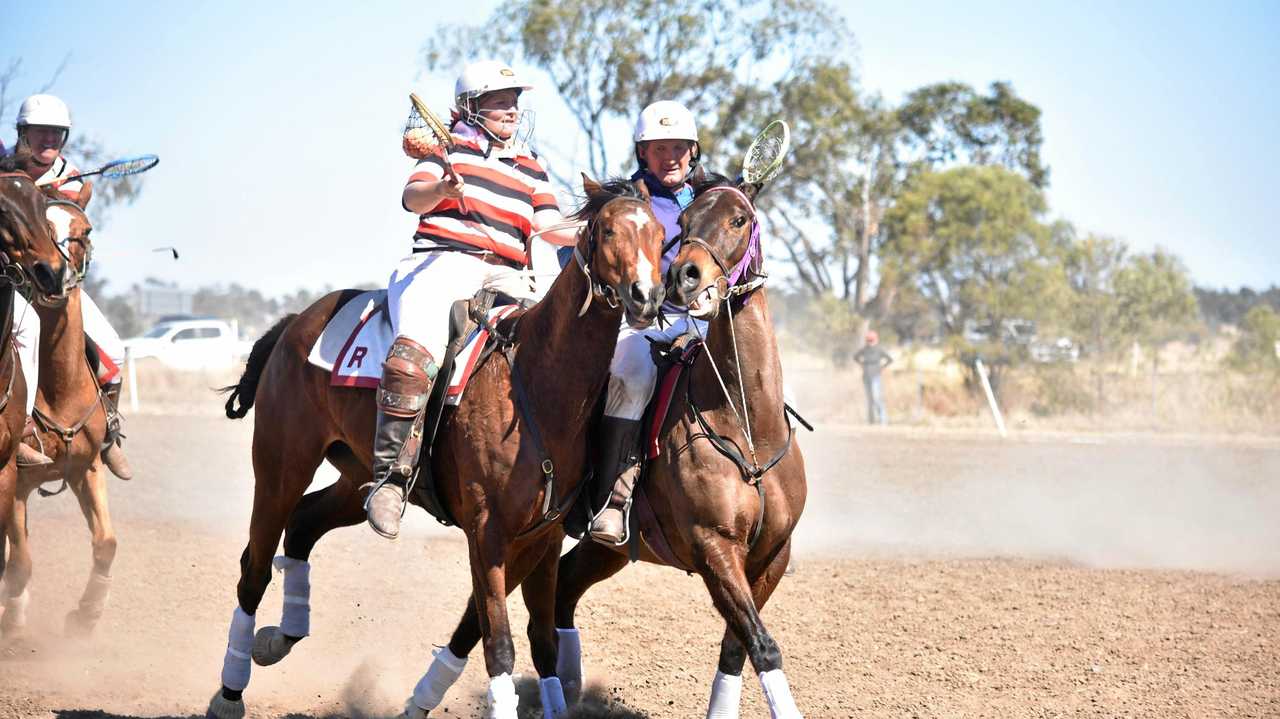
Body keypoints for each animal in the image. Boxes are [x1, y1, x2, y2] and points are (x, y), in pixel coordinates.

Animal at [0, 173, 120, 632]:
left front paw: (87, 614)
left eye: (84, 231)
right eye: (47, 228)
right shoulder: (15, 482)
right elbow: (20, 564)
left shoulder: (87, 467)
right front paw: (14, 613)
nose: (56, 276)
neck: (60, 389)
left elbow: (107, 543)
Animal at [204, 175, 665, 716]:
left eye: (660, 234)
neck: (537, 382)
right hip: (281, 465)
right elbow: (499, 643)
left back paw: (279, 637)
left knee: (304, 524)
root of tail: (294, 323)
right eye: (609, 229)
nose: (647, 295)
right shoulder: (487, 531)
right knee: (254, 568)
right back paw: (230, 691)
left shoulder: (542, 535)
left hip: (358, 478)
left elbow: (542, 641)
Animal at [550, 175, 808, 716]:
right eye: (685, 223)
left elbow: (738, 646)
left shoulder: (773, 553)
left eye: (739, 219)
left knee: (563, 585)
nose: (684, 277)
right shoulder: (714, 546)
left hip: (608, 550)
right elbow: (762, 644)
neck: (746, 425)